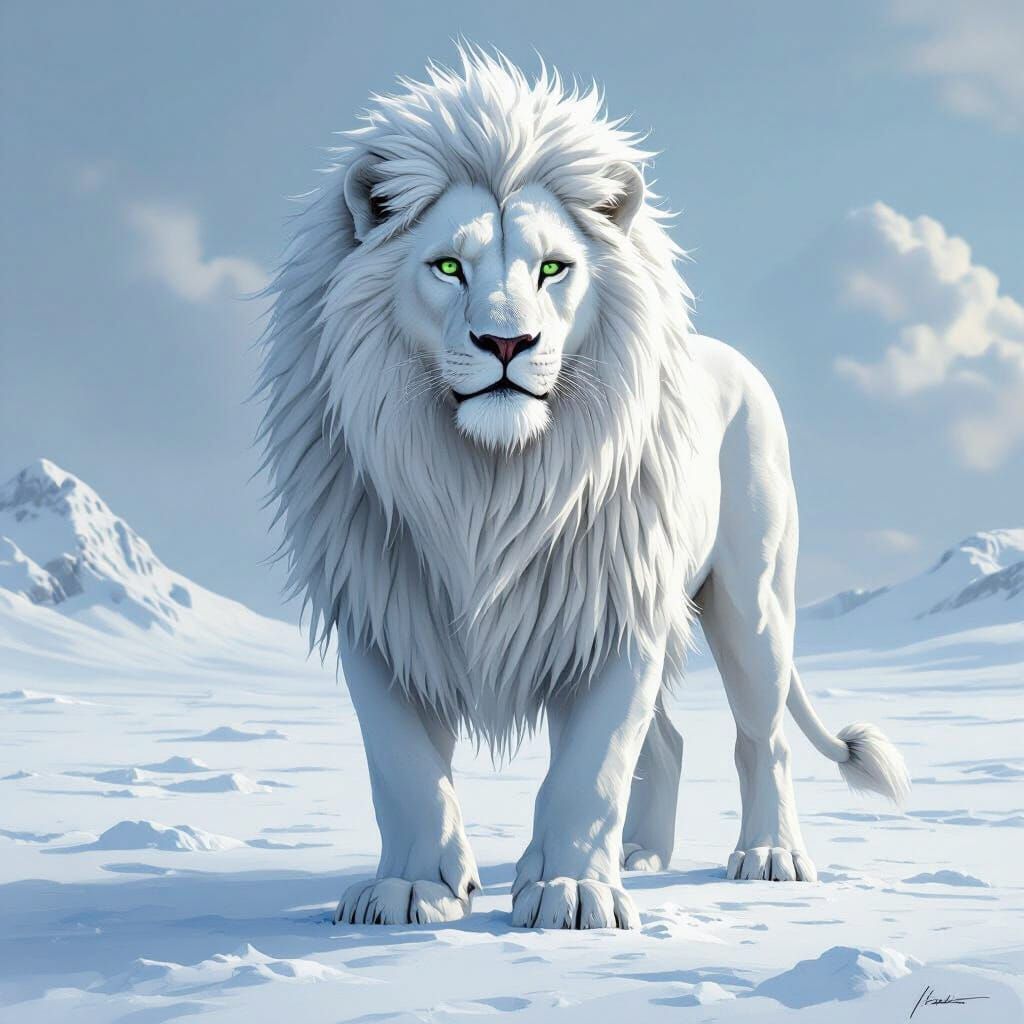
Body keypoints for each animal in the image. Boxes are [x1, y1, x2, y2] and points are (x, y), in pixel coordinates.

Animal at [256, 48, 910, 930]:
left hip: (753, 600)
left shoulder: (615, 605)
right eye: (449, 266)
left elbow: (591, 766)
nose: (505, 341)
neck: (485, 485)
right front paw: (414, 889)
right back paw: (641, 855)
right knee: (669, 741)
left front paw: (572, 894)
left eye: (553, 269)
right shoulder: (379, 610)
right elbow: (404, 767)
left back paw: (769, 858)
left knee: (760, 735)